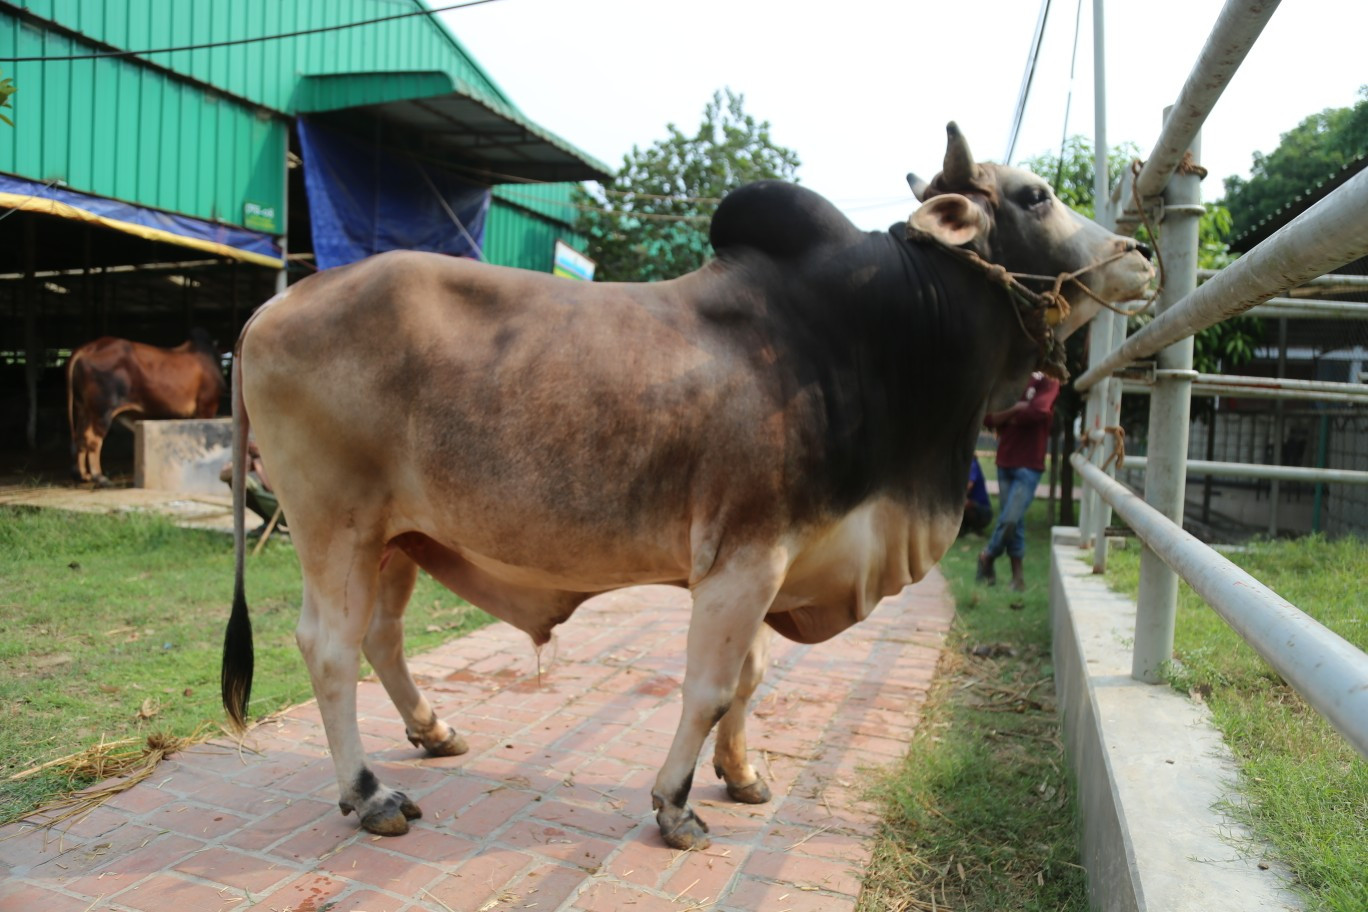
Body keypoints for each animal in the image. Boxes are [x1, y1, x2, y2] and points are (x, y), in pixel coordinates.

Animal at [66, 329, 227, 486]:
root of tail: (88, 348)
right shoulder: (206, 406)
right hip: (102, 411)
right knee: (92, 440)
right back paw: (100, 477)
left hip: (84, 409)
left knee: (80, 437)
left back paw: (83, 475)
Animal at [221, 123, 1153, 851]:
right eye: (1036, 195)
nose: (1139, 256)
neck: (871, 337)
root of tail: (269, 309)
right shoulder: (745, 556)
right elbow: (708, 685)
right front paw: (674, 805)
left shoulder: (780, 556)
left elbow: (749, 675)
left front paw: (741, 774)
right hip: (333, 525)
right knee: (329, 646)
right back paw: (370, 793)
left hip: (397, 538)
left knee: (381, 637)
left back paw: (433, 731)